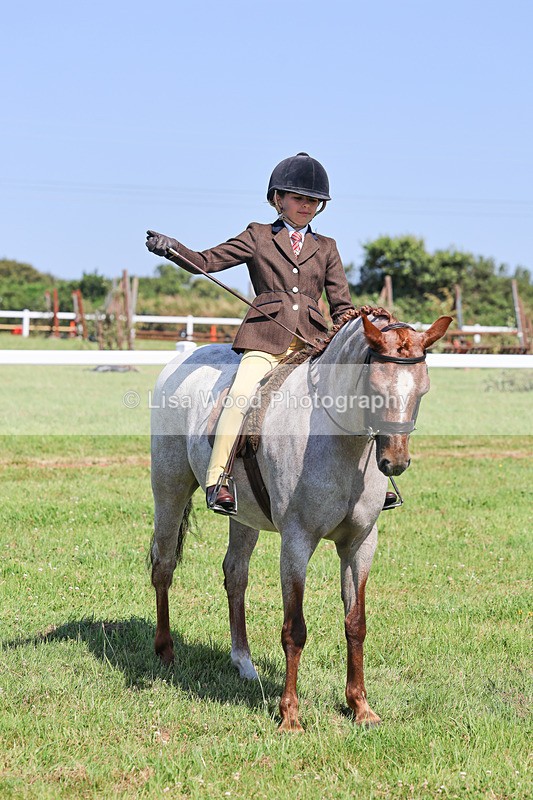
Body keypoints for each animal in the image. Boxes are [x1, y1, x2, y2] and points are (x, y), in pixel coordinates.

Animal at [149, 308, 452, 731]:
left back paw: (243, 662)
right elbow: (294, 629)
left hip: (243, 516)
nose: (395, 462)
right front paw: (290, 715)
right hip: (169, 489)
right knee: (163, 566)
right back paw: (165, 651)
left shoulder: (361, 543)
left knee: (235, 574)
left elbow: (355, 623)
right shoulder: (296, 541)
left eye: (422, 391)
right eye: (376, 388)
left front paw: (360, 707)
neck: (339, 440)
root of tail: (182, 359)